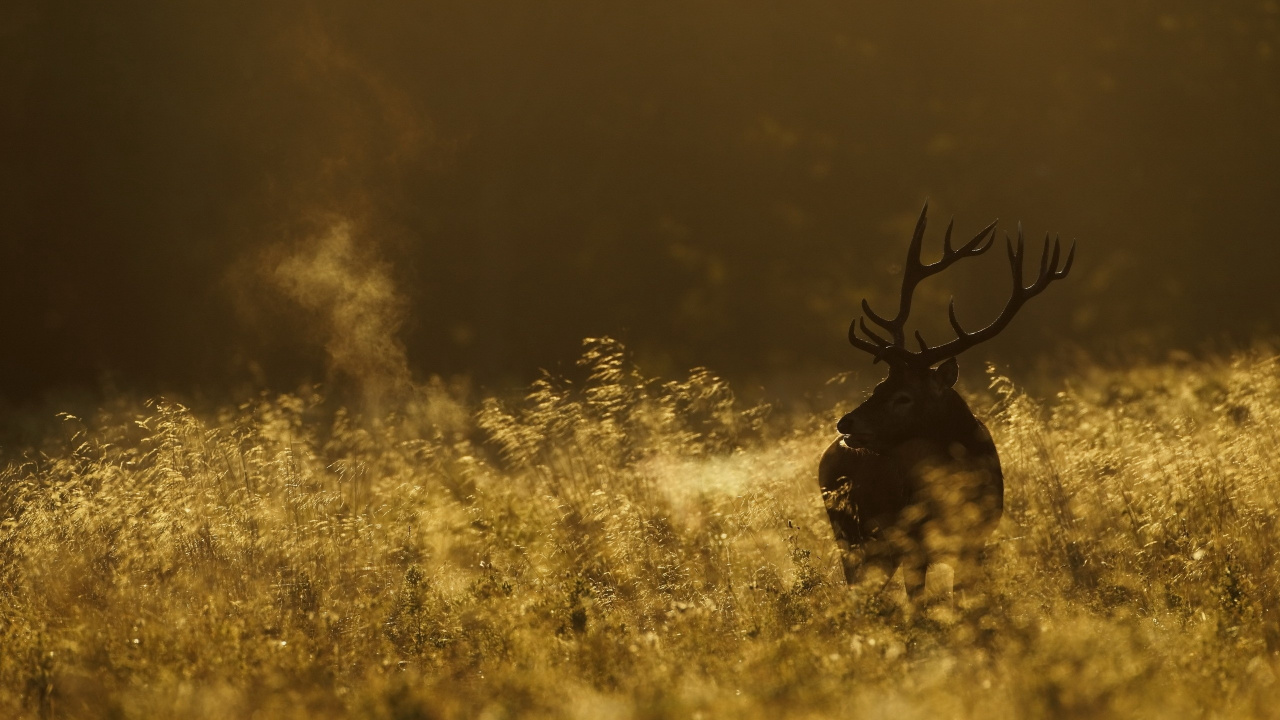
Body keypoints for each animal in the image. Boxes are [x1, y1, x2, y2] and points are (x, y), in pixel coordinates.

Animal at [819, 204, 1070, 602]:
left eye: (904, 396)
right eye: (878, 384)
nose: (846, 422)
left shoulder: (976, 541)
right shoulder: (913, 544)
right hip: (850, 536)